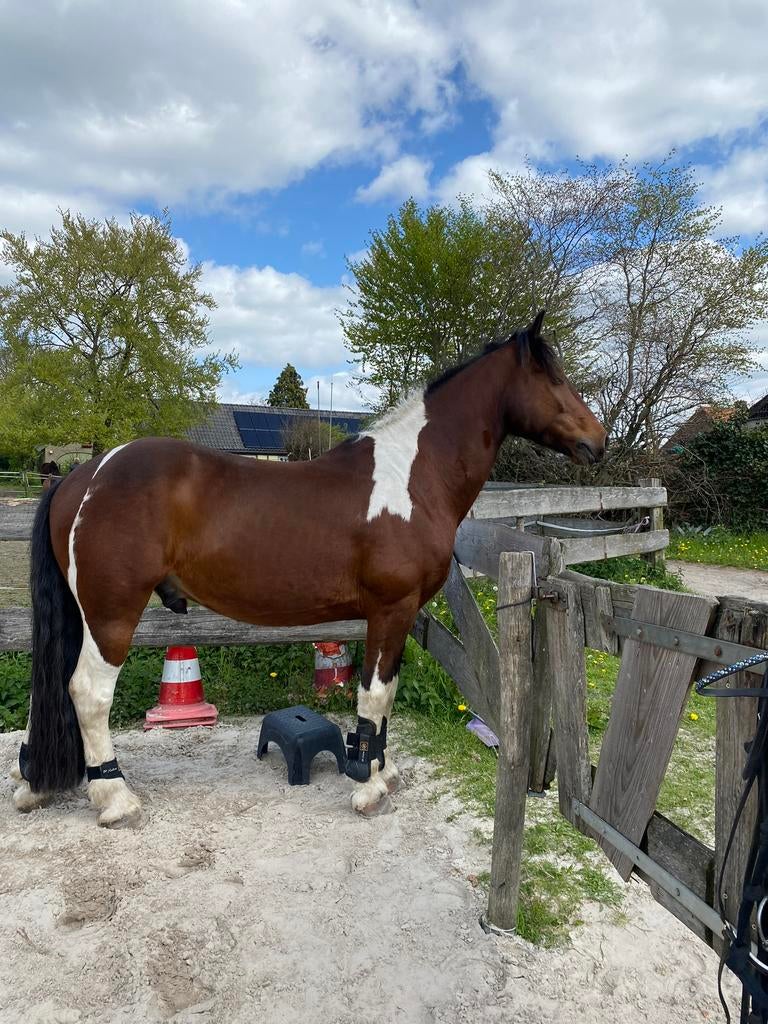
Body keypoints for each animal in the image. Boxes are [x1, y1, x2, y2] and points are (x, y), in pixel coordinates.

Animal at [12, 312, 606, 827]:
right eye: (552, 377)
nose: (597, 442)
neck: (413, 476)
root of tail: (85, 474)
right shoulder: (390, 610)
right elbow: (373, 695)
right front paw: (369, 787)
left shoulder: (400, 616)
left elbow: (386, 694)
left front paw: (384, 771)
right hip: (111, 614)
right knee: (88, 692)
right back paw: (114, 797)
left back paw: (37, 783)